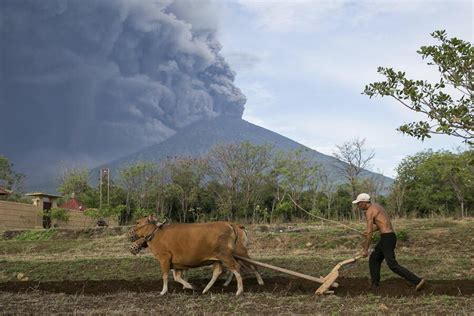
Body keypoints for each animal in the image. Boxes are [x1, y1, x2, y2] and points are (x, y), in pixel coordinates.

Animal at [130, 215, 262, 296]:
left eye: (137, 222)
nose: (130, 233)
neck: (157, 235)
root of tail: (231, 225)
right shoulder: (177, 263)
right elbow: (177, 277)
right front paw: (190, 286)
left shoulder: (164, 258)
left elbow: (165, 276)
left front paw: (163, 291)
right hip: (218, 258)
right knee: (219, 272)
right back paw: (206, 289)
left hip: (229, 255)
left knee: (239, 267)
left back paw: (242, 289)